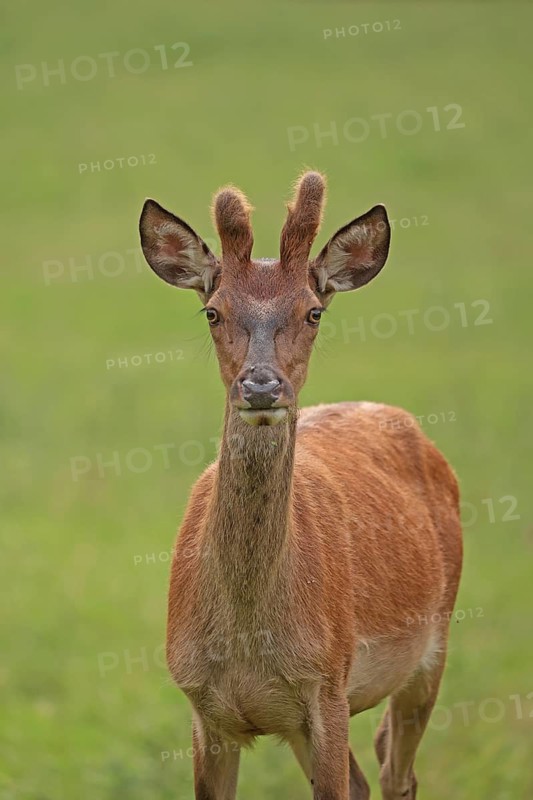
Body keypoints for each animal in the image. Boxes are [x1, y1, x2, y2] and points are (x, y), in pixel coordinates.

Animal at [139, 171, 463, 800]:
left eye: (313, 312)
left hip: (432, 642)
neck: (249, 644)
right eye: (212, 311)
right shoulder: (202, 707)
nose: (262, 385)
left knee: (397, 772)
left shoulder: (327, 683)